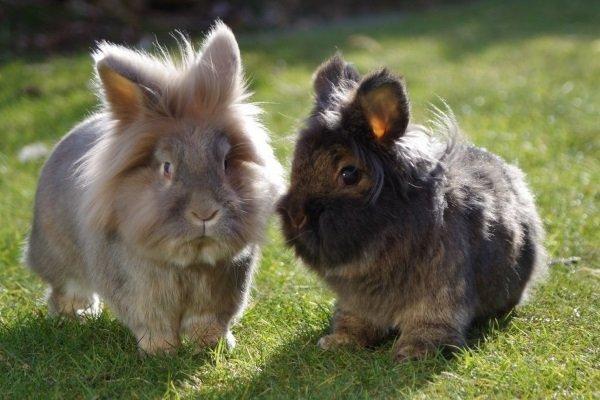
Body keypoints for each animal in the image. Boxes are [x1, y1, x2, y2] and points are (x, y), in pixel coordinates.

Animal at [278, 54, 548, 360]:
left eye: (349, 174)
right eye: (296, 164)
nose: (295, 215)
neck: (388, 234)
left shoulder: (440, 293)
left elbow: (429, 322)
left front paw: (414, 353)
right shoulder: (356, 302)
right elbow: (354, 320)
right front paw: (338, 341)